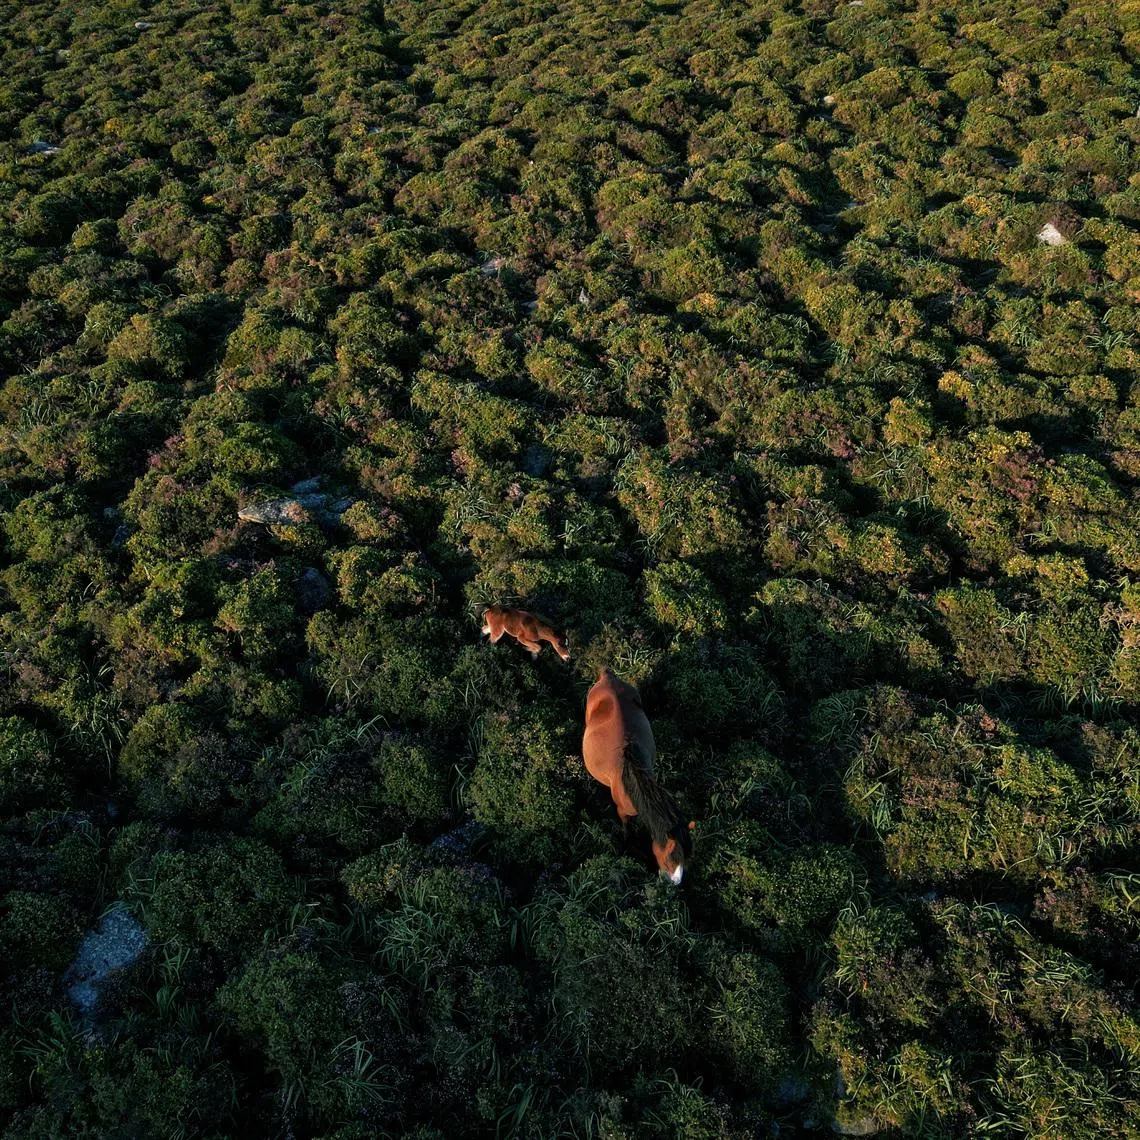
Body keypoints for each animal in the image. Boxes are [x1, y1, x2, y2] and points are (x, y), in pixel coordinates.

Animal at [582, 668, 692, 884]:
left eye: (686, 859)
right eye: (670, 858)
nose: (675, 884)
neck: (633, 780)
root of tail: (607, 676)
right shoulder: (622, 811)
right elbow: (626, 828)